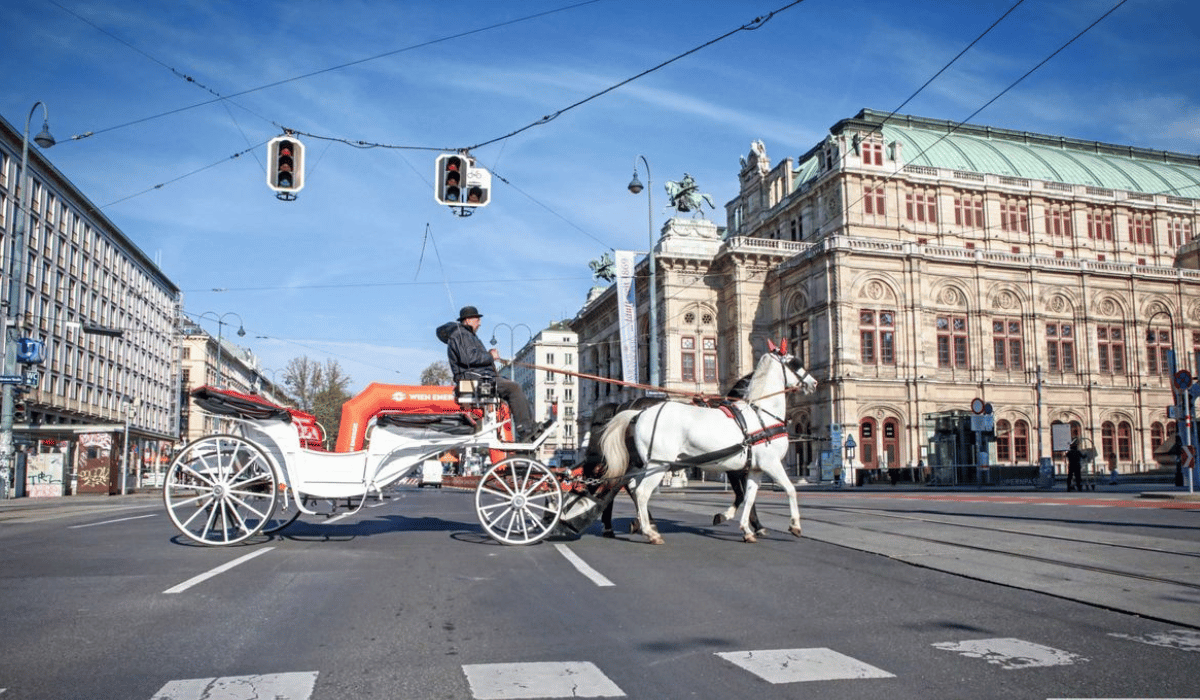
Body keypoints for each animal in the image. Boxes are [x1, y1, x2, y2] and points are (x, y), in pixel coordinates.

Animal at [597, 343, 816, 545]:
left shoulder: (754, 468)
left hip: (644, 464)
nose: (813, 382)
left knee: (627, 486)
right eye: (795, 363)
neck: (760, 414)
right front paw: (795, 525)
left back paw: (633, 525)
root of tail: (638, 412)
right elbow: (789, 489)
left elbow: (749, 497)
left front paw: (747, 529)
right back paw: (648, 532)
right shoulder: (769, 464)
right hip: (659, 464)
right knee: (640, 492)